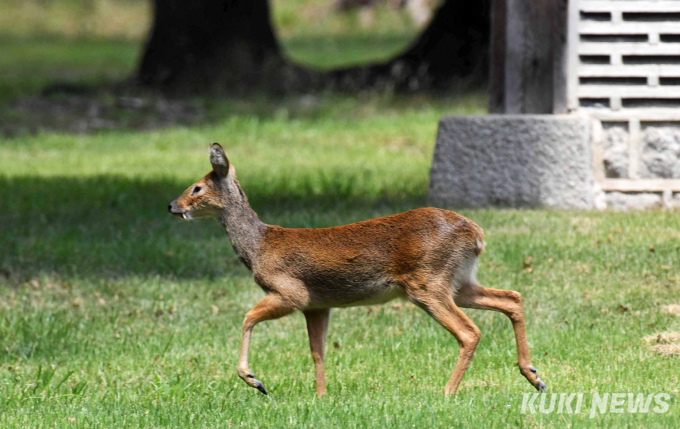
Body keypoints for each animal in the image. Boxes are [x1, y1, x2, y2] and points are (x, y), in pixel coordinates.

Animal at [170, 145, 548, 396]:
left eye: (197, 187)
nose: (173, 205)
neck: (259, 245)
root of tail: (476, 234)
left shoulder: (291, 292)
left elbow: (247, 317)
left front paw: (254, 380)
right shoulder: (317, 305)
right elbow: (317, 350)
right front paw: (321, 397)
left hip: (427, 282)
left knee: (469, 331)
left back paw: (447, 392)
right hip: (460, 281)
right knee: (511, 297)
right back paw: (535, 376)